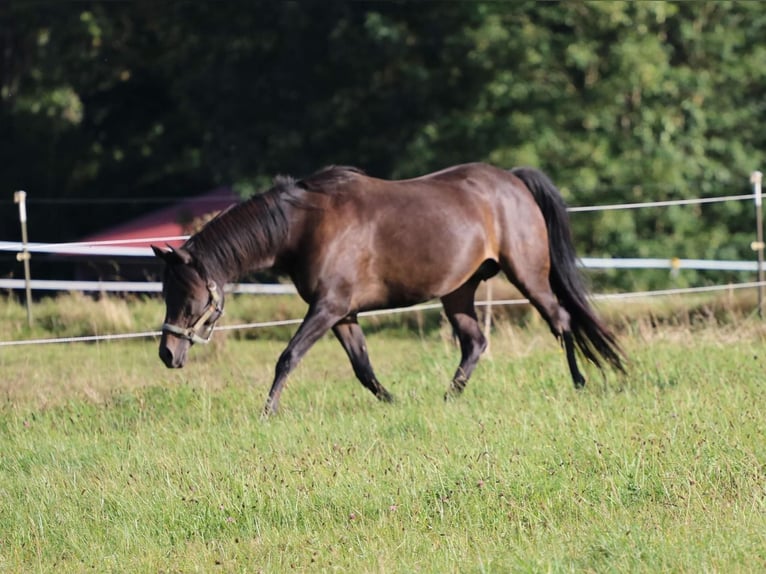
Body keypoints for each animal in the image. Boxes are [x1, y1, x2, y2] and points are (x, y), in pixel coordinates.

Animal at [152, 164, 624, 416]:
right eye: (165, 294)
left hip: (527, 274)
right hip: (458, 291)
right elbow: (363, 368)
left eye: (189, 300)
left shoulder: (328, 308)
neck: (304, 225)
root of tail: (513, 180)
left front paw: (267, 411)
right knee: (474, 342)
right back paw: (449, 397)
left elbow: (288, 356)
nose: (167, 355)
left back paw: (579, 383)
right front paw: (393, 401)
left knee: (561, 320)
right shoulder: (343, 314)